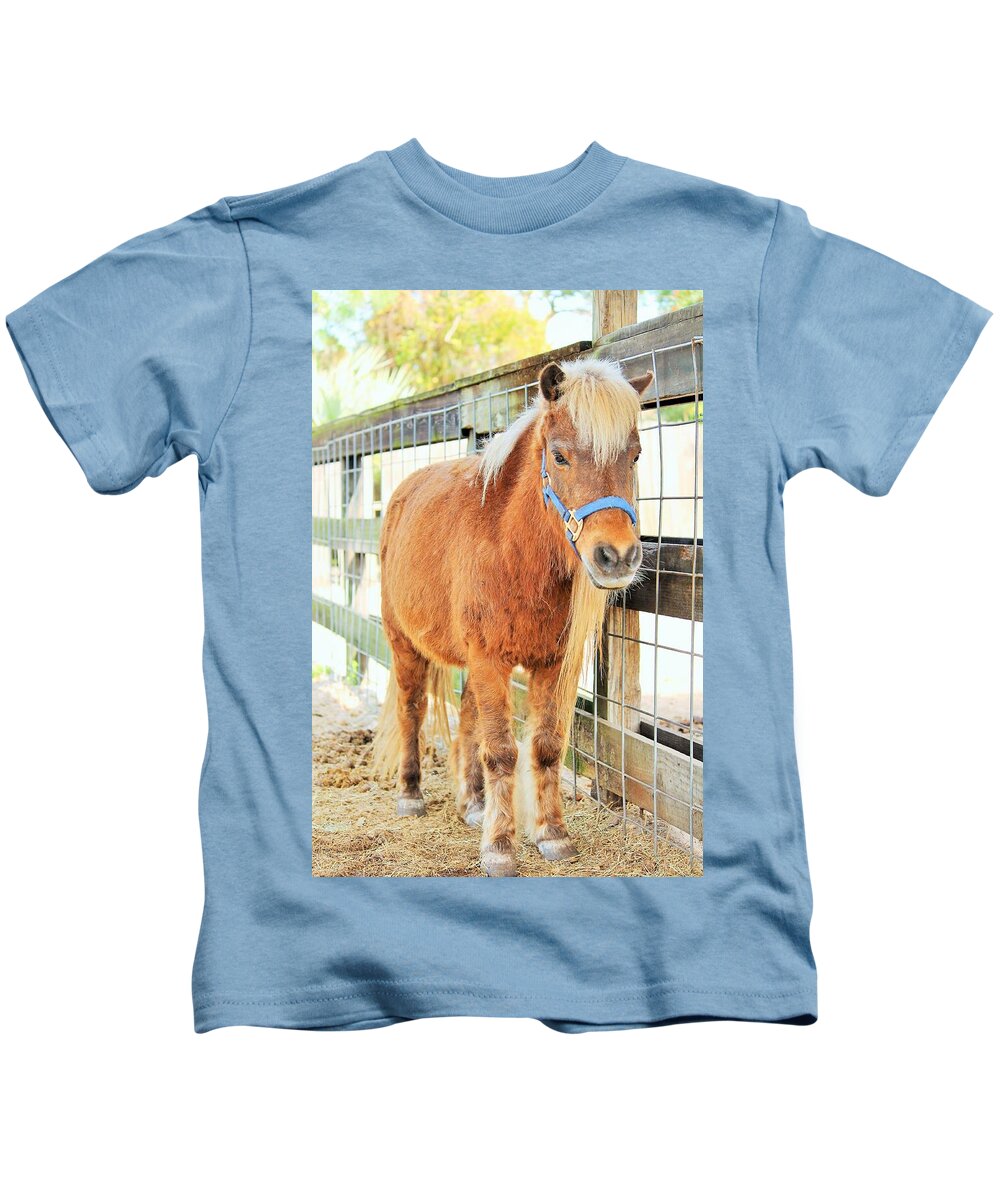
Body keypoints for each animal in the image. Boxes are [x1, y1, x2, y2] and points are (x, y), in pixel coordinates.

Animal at [373, 357, 652, 876]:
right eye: (559, 457)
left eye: (636, 456)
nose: (617, 557)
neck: (513, 551)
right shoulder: (489, 659)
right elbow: (502, 751)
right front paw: (500, 847)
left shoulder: (551, 665)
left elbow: (544, 747)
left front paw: (552, 834)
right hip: (404, 643)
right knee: (411, 710)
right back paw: (411, 794)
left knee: (466, 719)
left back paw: (472, 804)